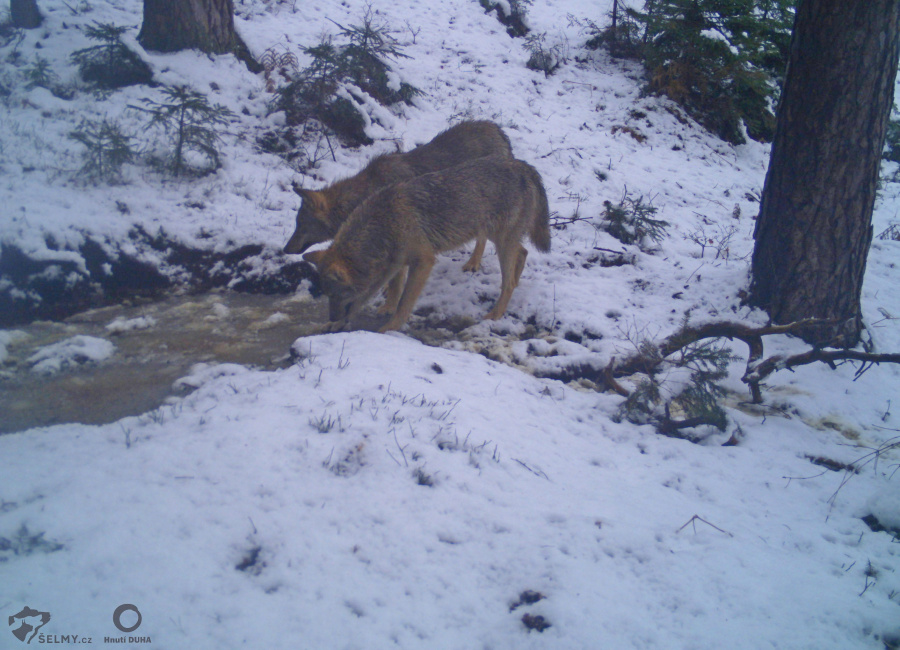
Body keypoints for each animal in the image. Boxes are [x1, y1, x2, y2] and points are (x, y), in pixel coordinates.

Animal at [306, 154, 552, 332]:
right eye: (327, 295)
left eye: (338, 295)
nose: (332, 317)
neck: (385, 223)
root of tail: (524, 166)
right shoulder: (397, 263)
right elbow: (393, 290)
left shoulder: (423, 261)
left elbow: (405, 301)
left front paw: (389, 328)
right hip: (496, 236)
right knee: (522, 254)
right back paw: (515, 283)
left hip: (500, 240)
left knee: (507, 281)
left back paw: (496, 313)